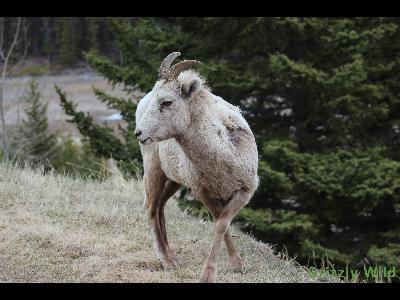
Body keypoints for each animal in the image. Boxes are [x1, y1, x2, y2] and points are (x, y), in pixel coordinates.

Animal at [134, 52, 260, 282]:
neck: (225, 159)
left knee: (160, 206)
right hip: (154, 169)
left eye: (167, 102)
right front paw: (208, 275)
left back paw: (172, 255)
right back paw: (167, 262)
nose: (139, 133)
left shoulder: (244, 191)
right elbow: (220, 223)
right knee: (150, 208)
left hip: (174, 180)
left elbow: (222, 224)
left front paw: (238, 266)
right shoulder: (203, 192)